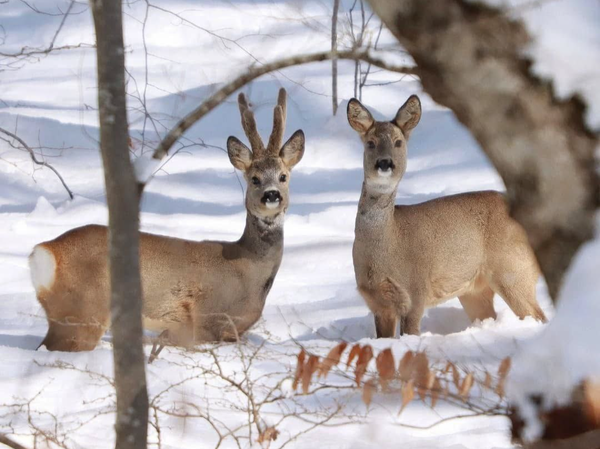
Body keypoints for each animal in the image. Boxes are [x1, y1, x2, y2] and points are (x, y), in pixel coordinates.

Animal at [29, 88, 304, 350]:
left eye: (283, 176)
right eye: (254, 178)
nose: (272, 195)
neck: (249, 265)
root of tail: (44, 251)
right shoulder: (210, 322)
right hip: (83, 311)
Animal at [346, 96, 548, 338]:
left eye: (398, 142)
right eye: (370, 142)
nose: (384, 163)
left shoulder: (415, 291)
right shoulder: (377, 302)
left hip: (514, 270)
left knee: (538, 316)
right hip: (475, 290)